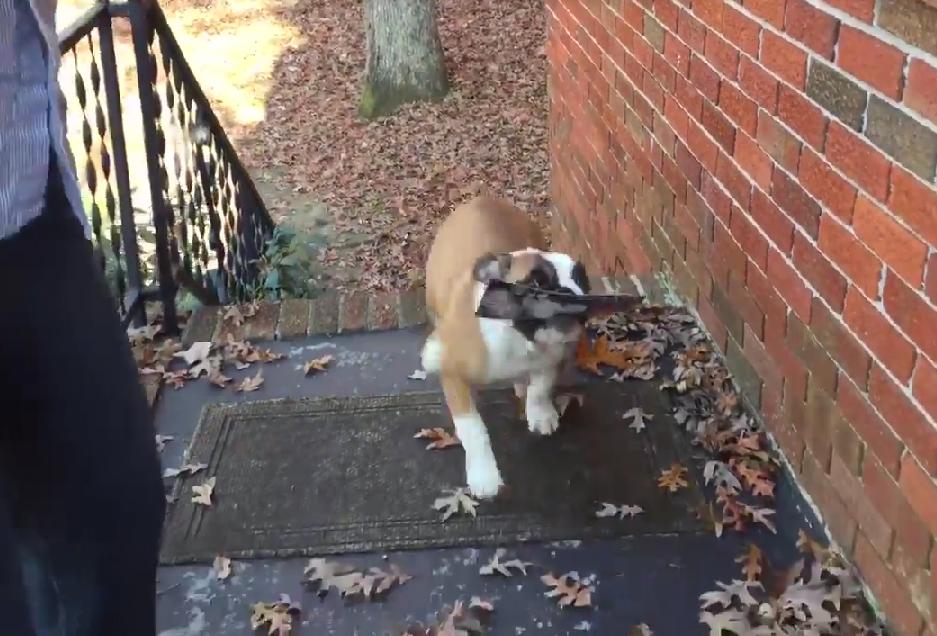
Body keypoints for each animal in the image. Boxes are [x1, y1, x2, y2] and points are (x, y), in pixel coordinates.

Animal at [420, 196, 588, 500]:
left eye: (582, 279)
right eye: (536, 282)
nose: (571, 295)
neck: (517, 337)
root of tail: (481, 199)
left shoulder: (553, 356)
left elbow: (541, 387)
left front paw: (540, 412)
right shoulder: (452, 374)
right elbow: (473, 428)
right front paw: (484, 475)